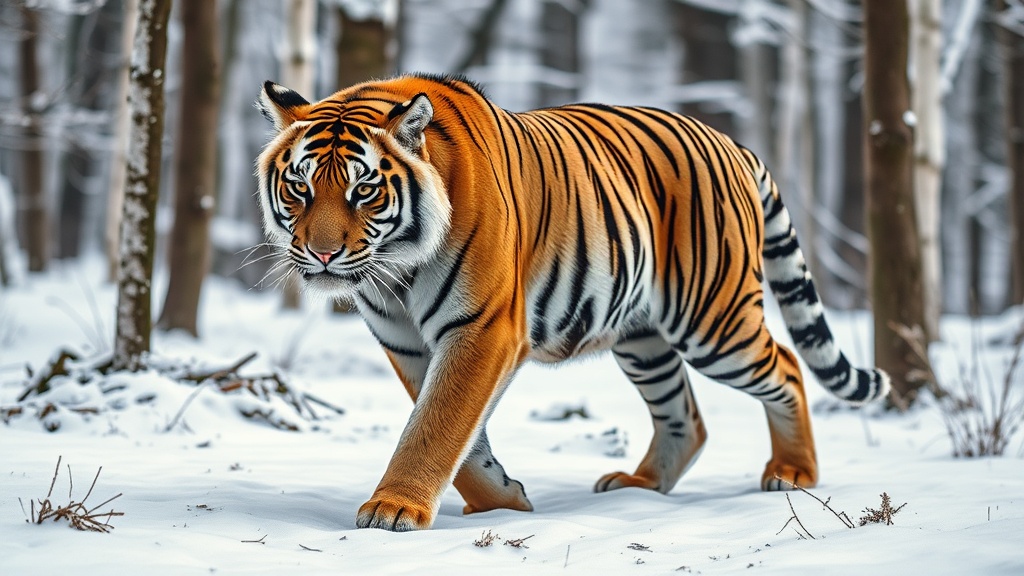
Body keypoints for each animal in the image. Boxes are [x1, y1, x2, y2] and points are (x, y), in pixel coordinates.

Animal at [255, 73, 890, 532]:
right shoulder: (406, 342)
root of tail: (733, 143)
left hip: (713, 319)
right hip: (643, 339)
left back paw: (792, 472)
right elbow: (458, 433)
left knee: (788, 366)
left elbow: (437, 425)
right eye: (300, 187)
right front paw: (503, 501)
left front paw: (393, 510)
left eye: (364, 189)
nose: (323, 254)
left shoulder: (482, 327)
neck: (397, 271)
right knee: (686, 416)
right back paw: (638, 488)